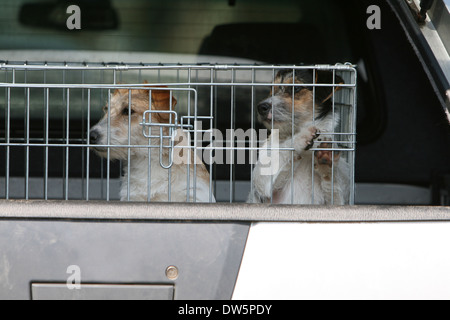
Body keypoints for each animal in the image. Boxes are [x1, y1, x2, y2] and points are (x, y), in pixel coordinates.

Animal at [248, 69, 350, 205]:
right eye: (272, 88)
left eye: (295, 88)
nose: (261, 107)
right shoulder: (262, 184)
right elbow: (283, 149)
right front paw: (301, 138)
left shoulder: (337, 203)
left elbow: (332, 185)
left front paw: (327, 163)